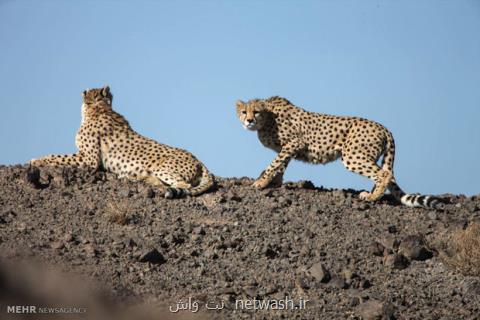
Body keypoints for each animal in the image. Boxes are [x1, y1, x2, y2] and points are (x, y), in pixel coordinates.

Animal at [31, 86, 215, 199]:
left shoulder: (89, 160)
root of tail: (199, 160)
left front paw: (36, 160)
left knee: (184, 185)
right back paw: (139, 177)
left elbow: (58, 157)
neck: (99, 108)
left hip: (162, 166)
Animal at [237, 96, 446, 209]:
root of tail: (384, 127)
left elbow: (274, 163)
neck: (267, 118)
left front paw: (260, 182)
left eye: (255, 112)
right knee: (384, 174)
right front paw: (275, 183)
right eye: (243, 112)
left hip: (352, 156)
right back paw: (371, 194)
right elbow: (281, 164)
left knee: (384, 174)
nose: (249, 121)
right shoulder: (288, 148)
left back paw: (372, 197)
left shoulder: (295, 142)